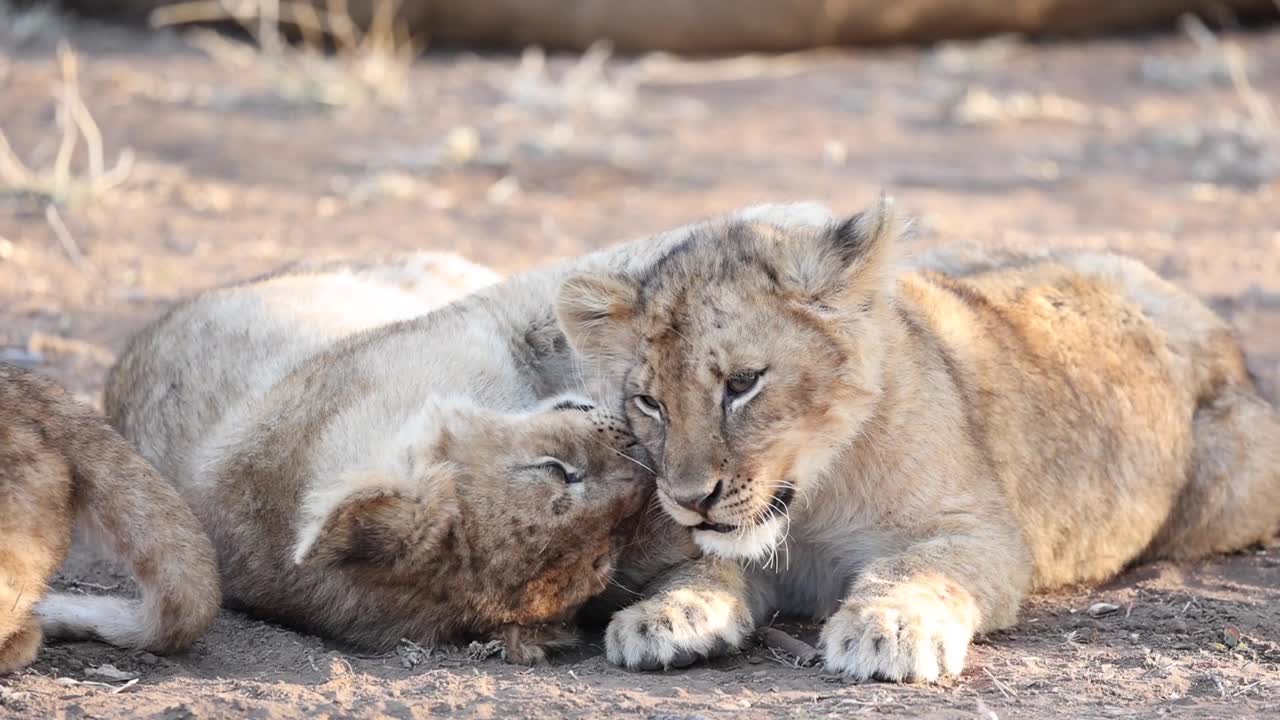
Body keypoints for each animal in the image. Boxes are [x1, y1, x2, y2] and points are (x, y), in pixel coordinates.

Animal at [555, 197, 1280, 682]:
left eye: (742, 383)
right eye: (650, 402)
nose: (687, 500)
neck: (816, 499)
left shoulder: (987, 531)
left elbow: (919, 566)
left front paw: (888, 627)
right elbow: (704, 563)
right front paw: (669, 615)